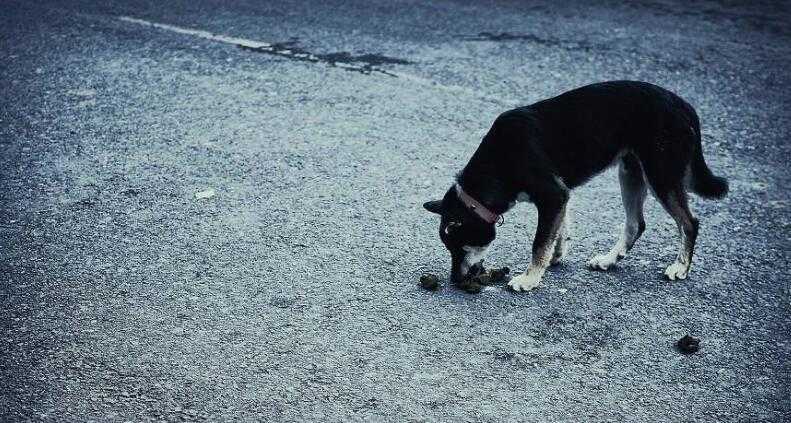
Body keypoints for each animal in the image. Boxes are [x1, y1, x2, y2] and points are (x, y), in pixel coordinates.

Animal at [426, 80, 732, 292]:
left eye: (460, 247)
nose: (454, 281)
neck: (500, 159)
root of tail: (684, 105)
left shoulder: (552, 195)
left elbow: (539, 242)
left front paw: (529, 278)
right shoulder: (560, 197)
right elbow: (557, 231)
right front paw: (555, 257)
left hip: (661, 176)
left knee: (689, 223)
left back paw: (681, 267)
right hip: (630, 172)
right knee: (635, 224)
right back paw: (609, 260)